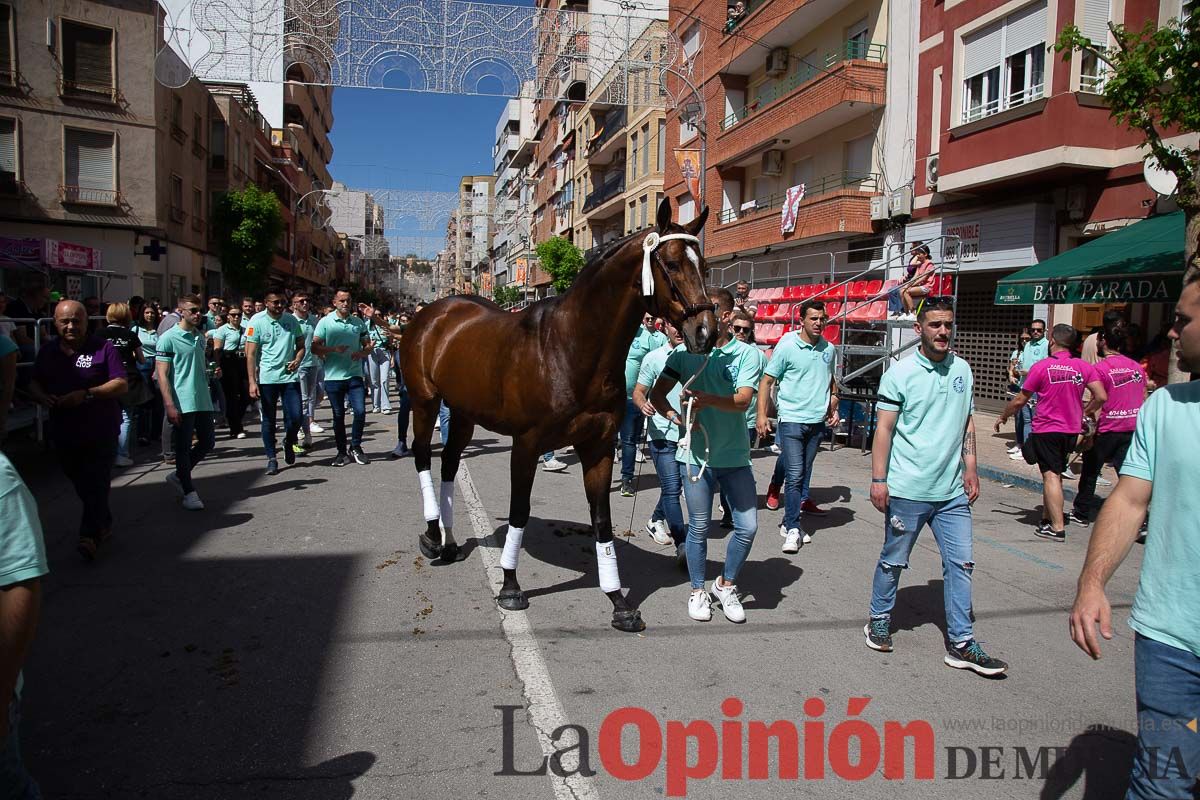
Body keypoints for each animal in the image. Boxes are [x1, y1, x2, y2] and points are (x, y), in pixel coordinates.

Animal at [398, 200, 715, 633]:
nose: (706, 332)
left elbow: (602, 521)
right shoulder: (527, 445)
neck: (570, 348)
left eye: (705, 265)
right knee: (422, 457)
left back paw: (448, 542)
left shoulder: (598, 446)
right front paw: (510, 585)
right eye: (670, 263)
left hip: (462, 412)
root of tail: (435, 311)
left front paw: (618, 601)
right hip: (425, 401)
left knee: (448, 463)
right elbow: (520, 511)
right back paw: (432, 537)